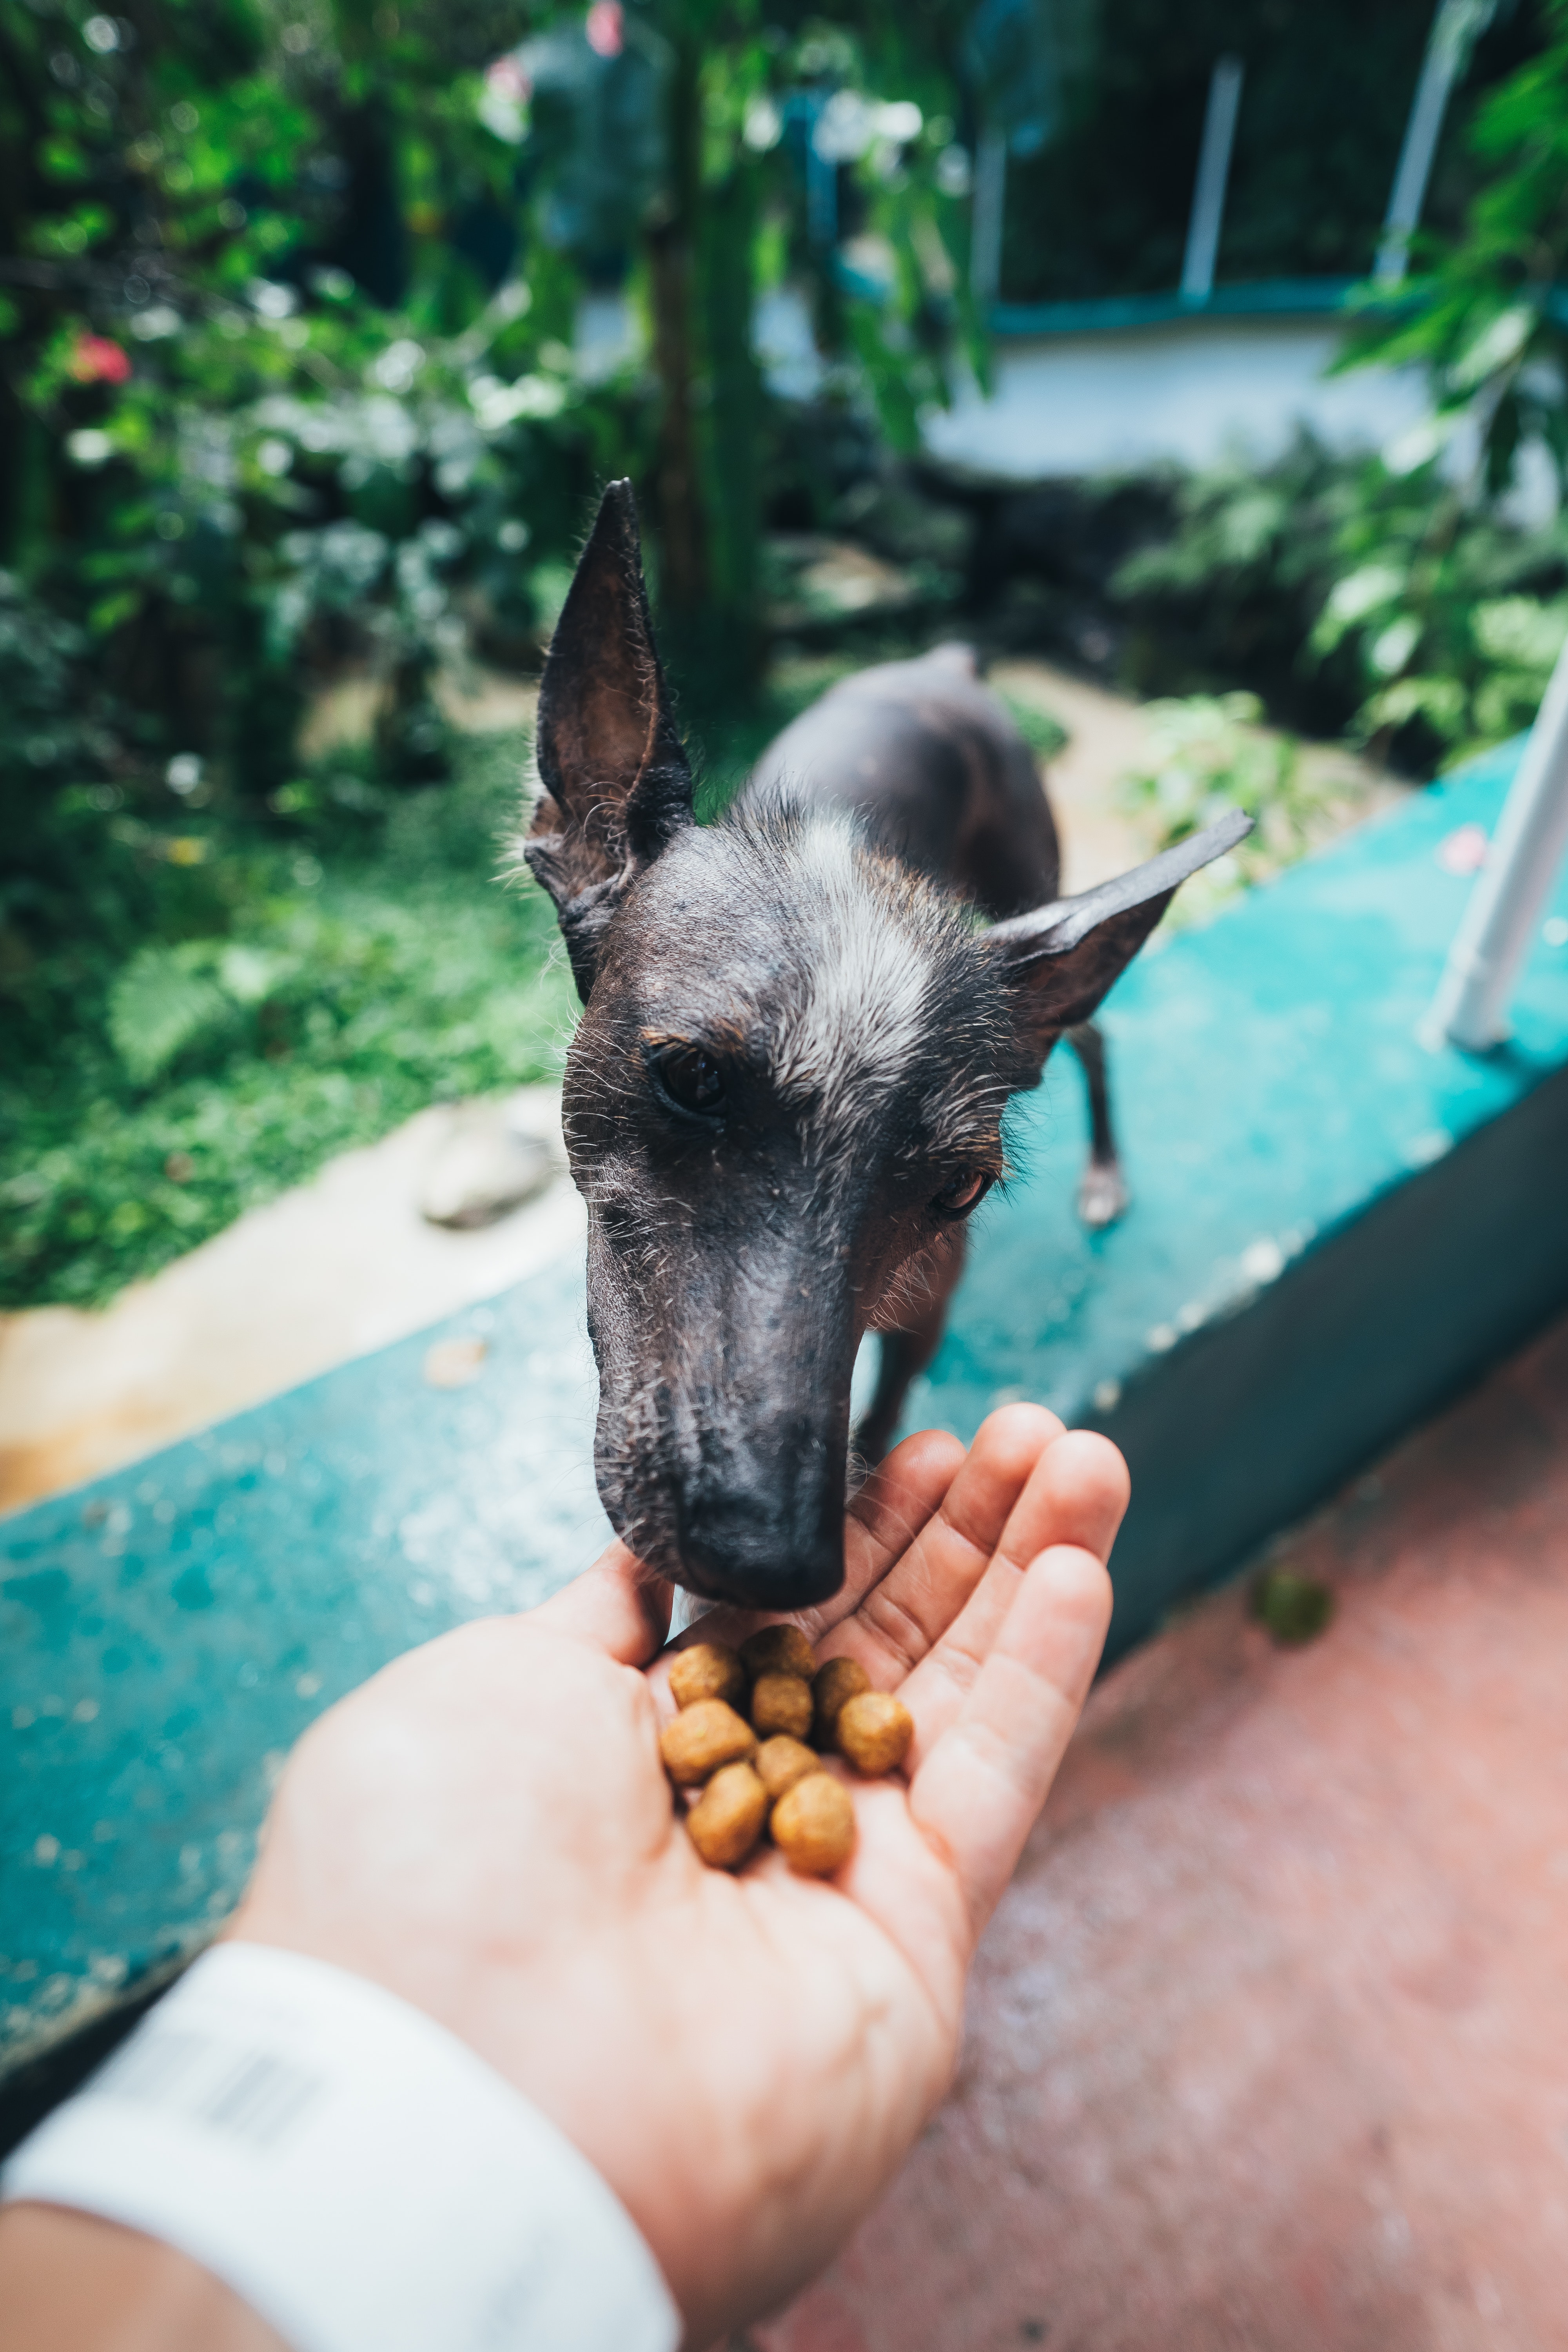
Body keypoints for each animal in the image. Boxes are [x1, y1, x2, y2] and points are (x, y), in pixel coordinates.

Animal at [526, 482, 1250, 1618]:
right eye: (691, 1078)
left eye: (959, 1188)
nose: (771, 1558)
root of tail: (946, 667)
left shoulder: (927, 1305)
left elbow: (880, 1414)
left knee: (1091, 1037)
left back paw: (1104, 1170)